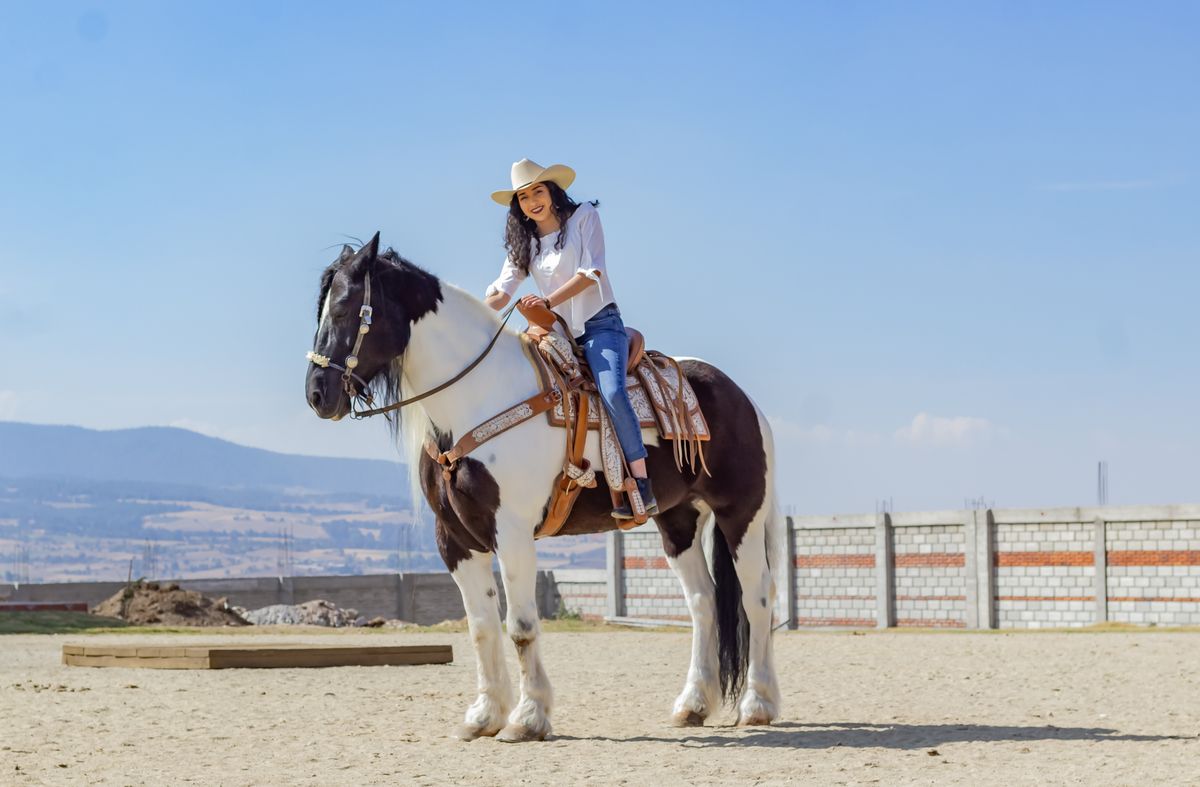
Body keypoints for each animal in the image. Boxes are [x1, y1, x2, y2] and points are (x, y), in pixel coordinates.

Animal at [305, 233, 783, 742]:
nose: (316, 394)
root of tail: (741, 397)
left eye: (345, 309)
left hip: (741, 514)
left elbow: (520, 626)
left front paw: (528, 717)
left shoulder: (512, 532)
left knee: (756, 597)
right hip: (679, 520)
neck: (478, 396)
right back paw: (692, 705)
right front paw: (483, 716)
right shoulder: (454, 538)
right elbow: (481, 628)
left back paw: (758, 704)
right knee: (703, 602)